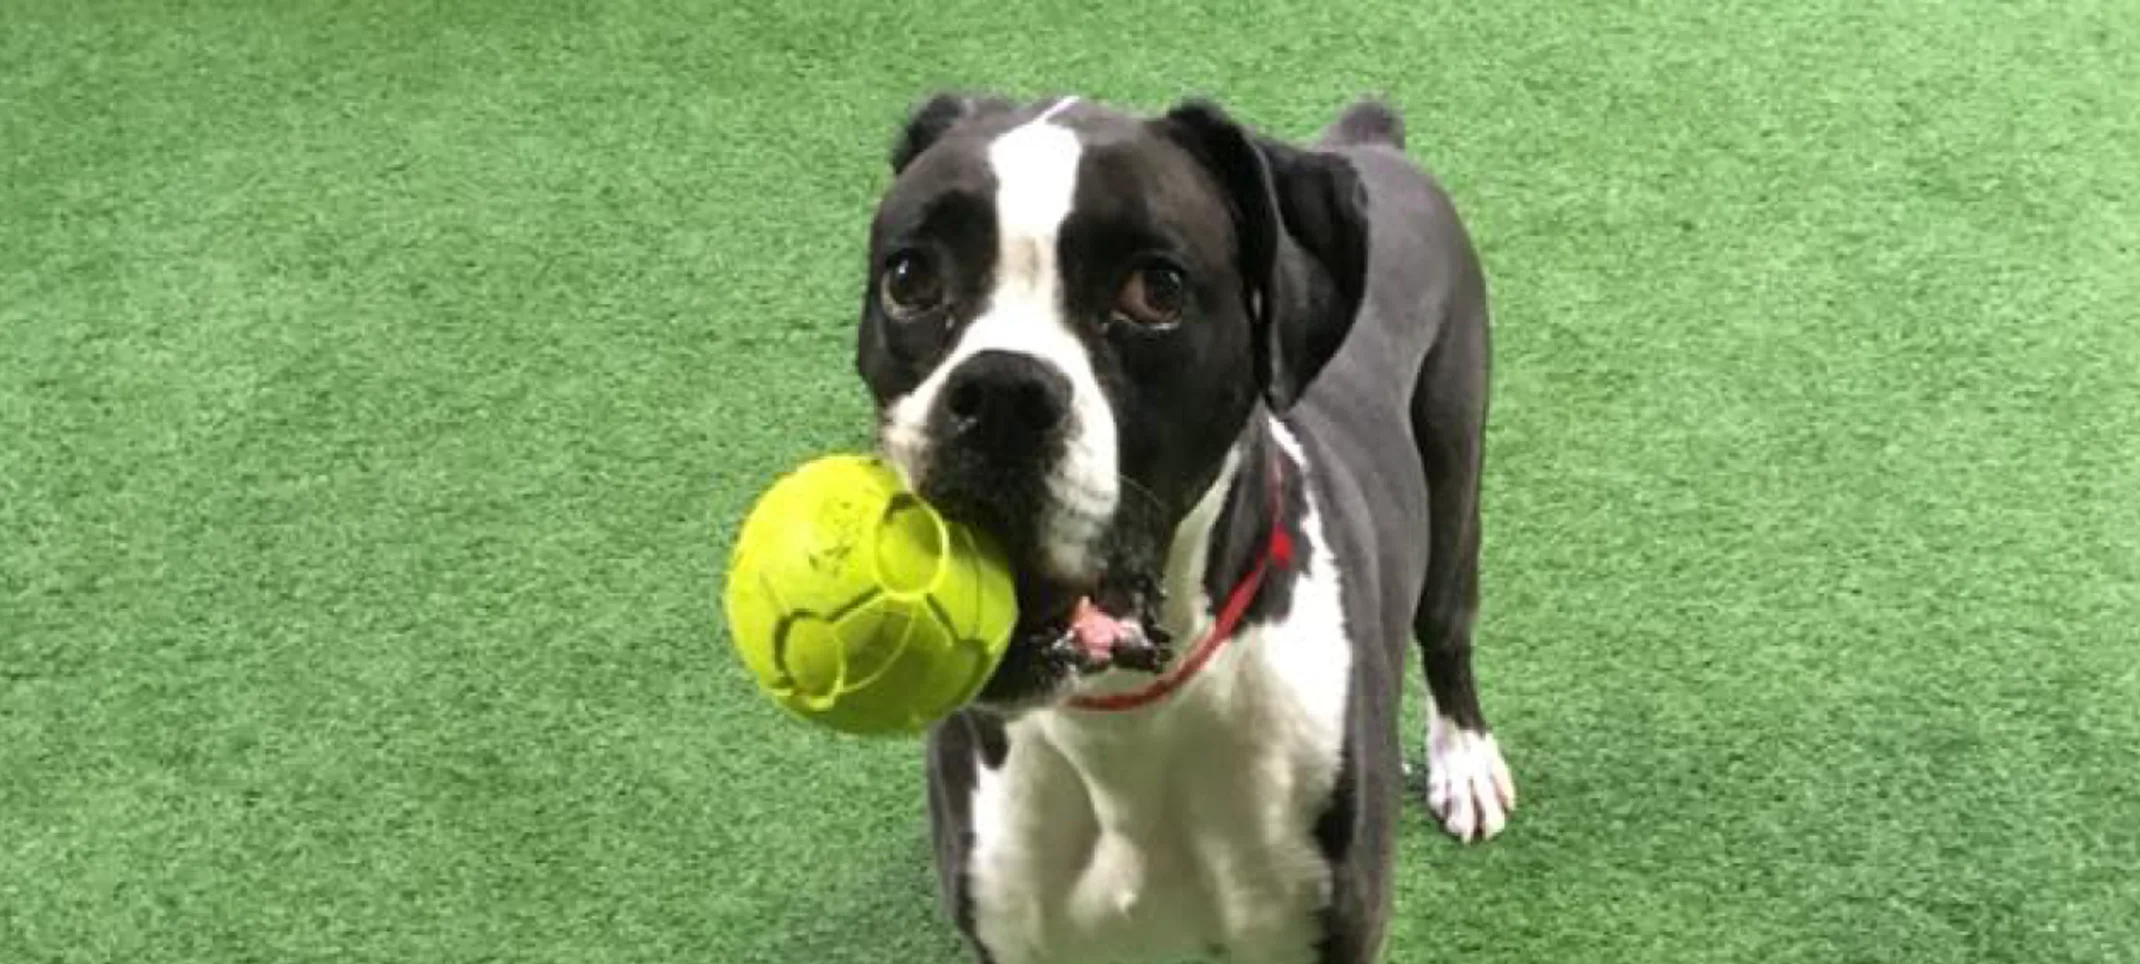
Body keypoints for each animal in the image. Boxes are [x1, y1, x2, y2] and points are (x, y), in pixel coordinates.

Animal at [847, 92, 1506, 964]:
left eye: (1155, 290)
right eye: (910, 277)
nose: (997, 393)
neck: (1123, 718)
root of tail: (1370, 145)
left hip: (1455, 477)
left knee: (1447, 631)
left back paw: (1465, 758)